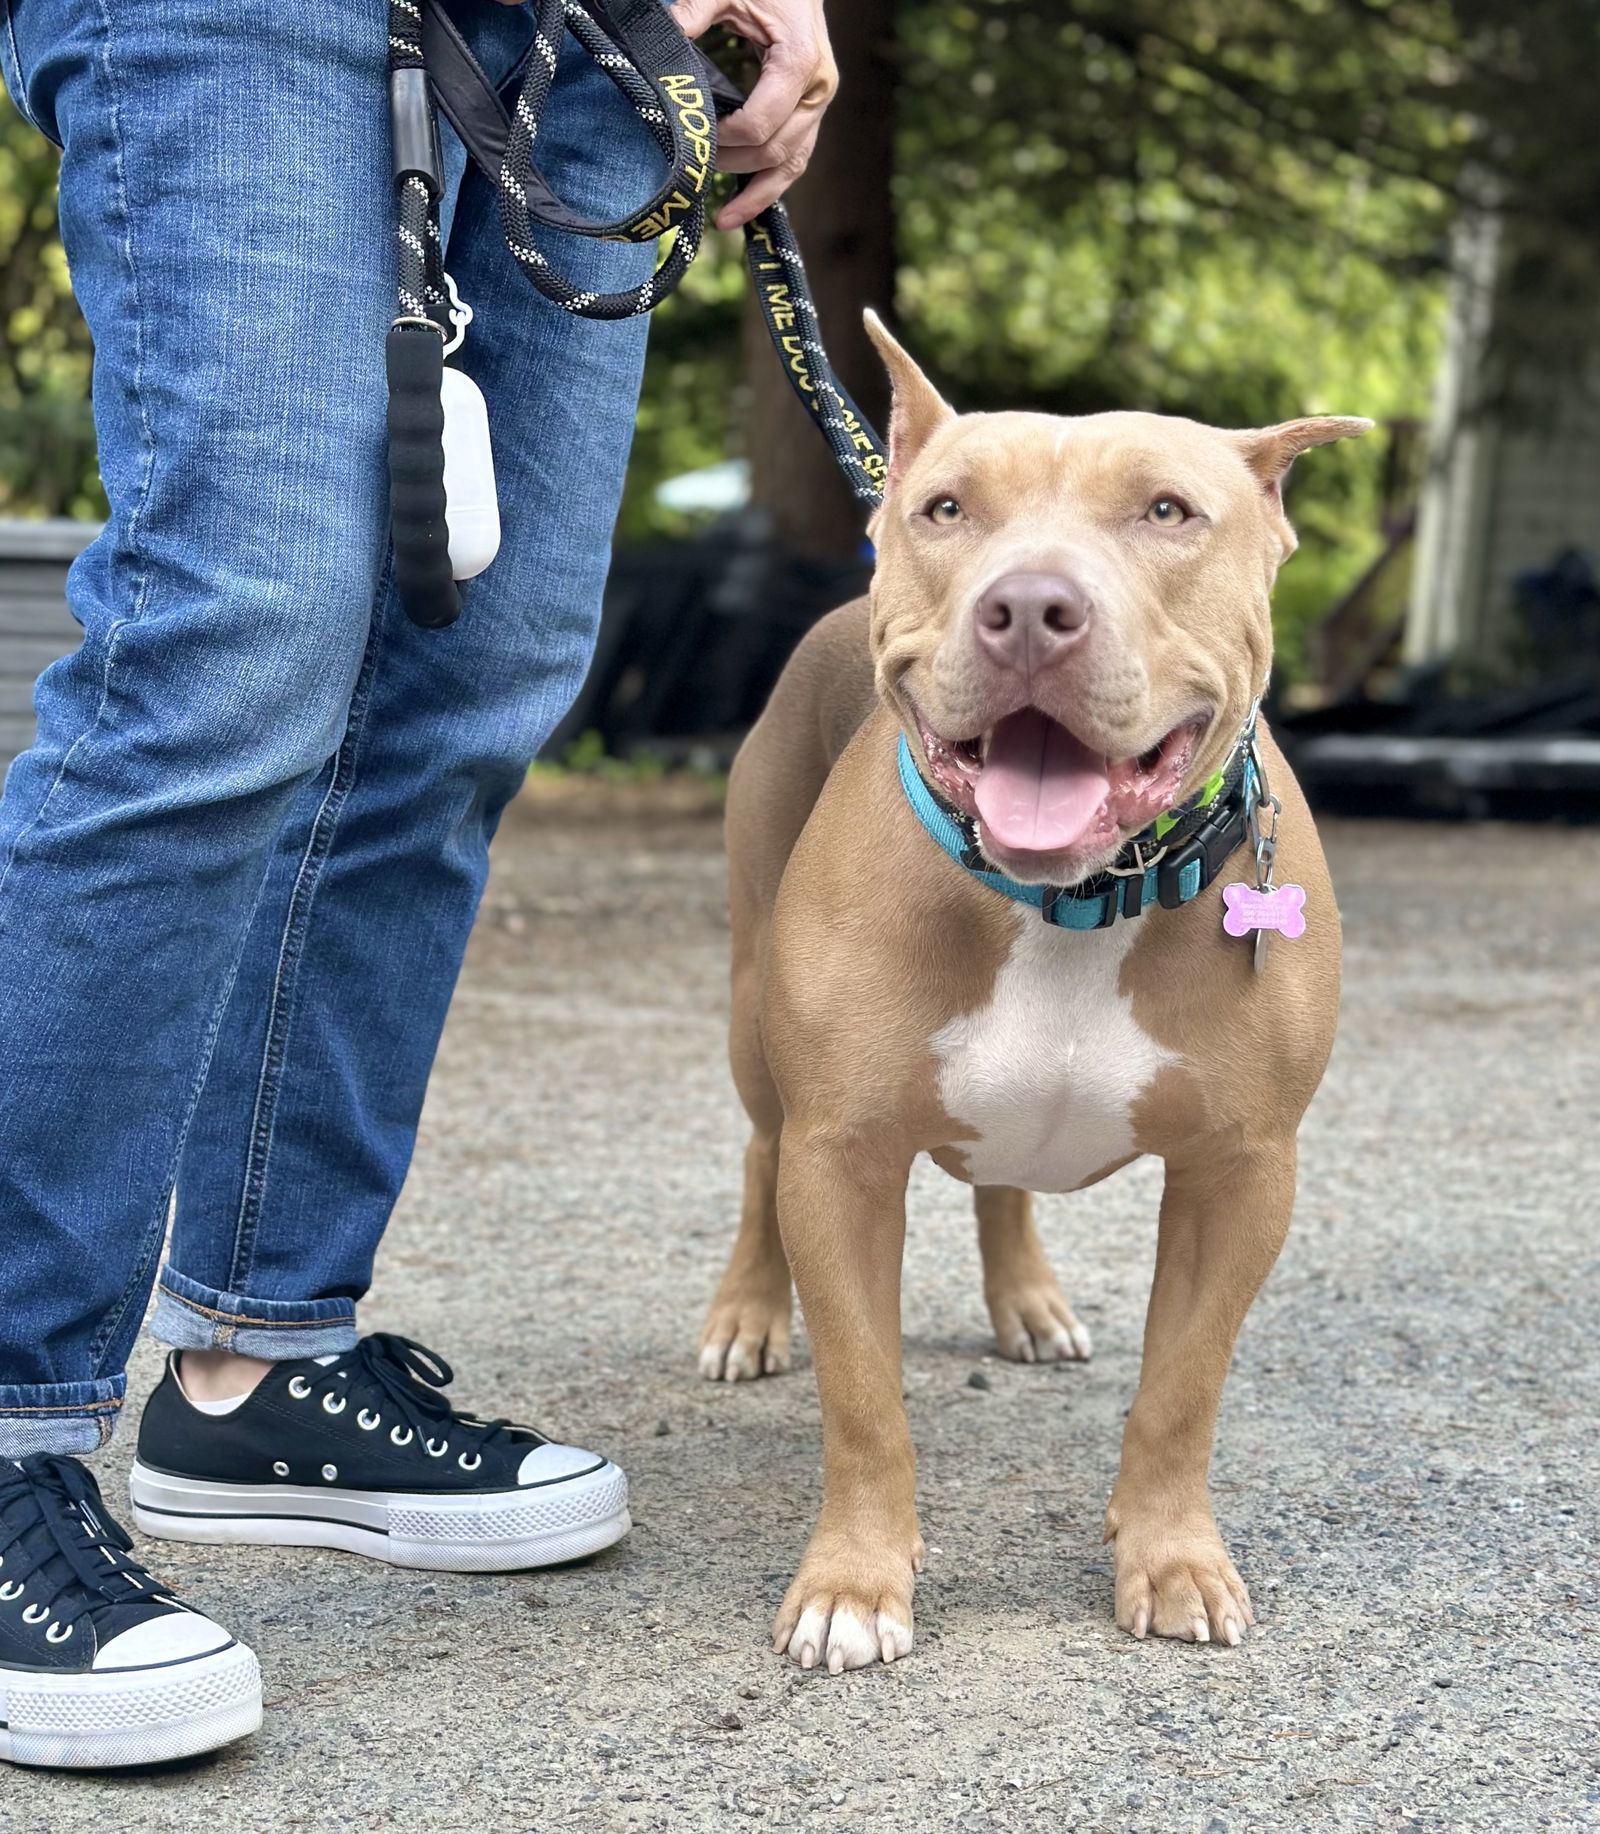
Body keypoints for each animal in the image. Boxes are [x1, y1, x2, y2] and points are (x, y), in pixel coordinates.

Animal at [697, 315, 1365, 1679]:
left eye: (1168, 510)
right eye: (948, 509)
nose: (1028, 608)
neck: (1069, 904)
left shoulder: (1243, 1171)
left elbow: (1182, 1388)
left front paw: (1171, 1557)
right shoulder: (840, 1160)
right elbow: (863, 1395)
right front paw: (853, 1583)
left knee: (1002, 1179)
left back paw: (1028, 1300)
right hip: (751, 1022)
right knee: (756, 1149)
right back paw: (747, 1312)